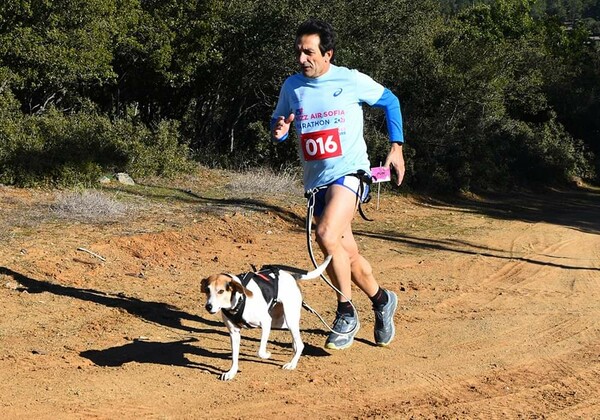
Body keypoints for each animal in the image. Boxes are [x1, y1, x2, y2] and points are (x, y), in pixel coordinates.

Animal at [202, 256, 332, 380]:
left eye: (221, 291)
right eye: (207, 290)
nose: (208, 306)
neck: (239, 300)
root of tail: (292, 276)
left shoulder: (265, 322)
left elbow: (260, 351)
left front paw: (267, 354)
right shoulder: (234, 333)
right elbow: (234, 356)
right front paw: (231, 373)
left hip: (289, 318)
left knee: (300, 344)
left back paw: (292, 364)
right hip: (280, 321)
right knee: (296, 341)